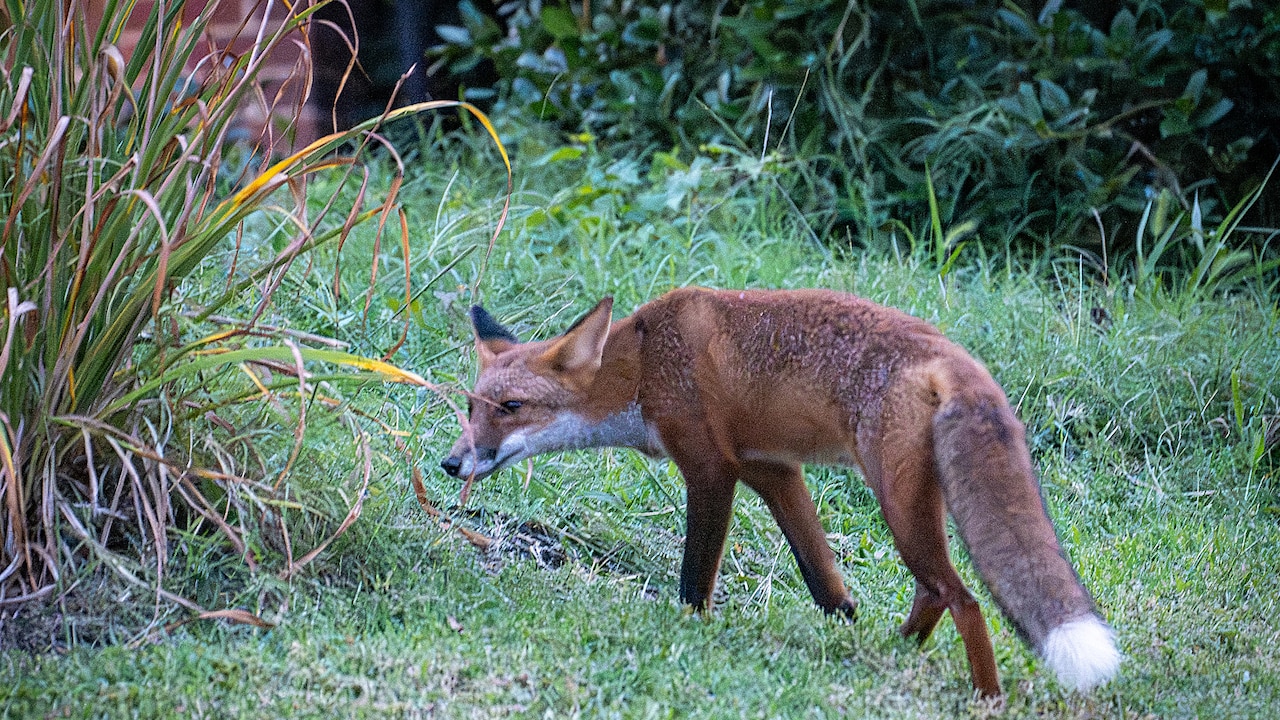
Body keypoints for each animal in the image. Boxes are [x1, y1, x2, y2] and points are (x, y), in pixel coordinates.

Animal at [440, 287, 1120, 697]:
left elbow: (694, 578)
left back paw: (986, 696)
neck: (642, 364)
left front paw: (689, 631)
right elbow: (825, 583)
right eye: (471, 408)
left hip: (897, 504)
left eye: (511, 407)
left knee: (964, 598)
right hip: (911, 504)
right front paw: (844, 631)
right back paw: (894, 653)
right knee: (934, 590)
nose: (451, 463)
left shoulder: (711, 470)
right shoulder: (772, 470)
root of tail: (955, 356)